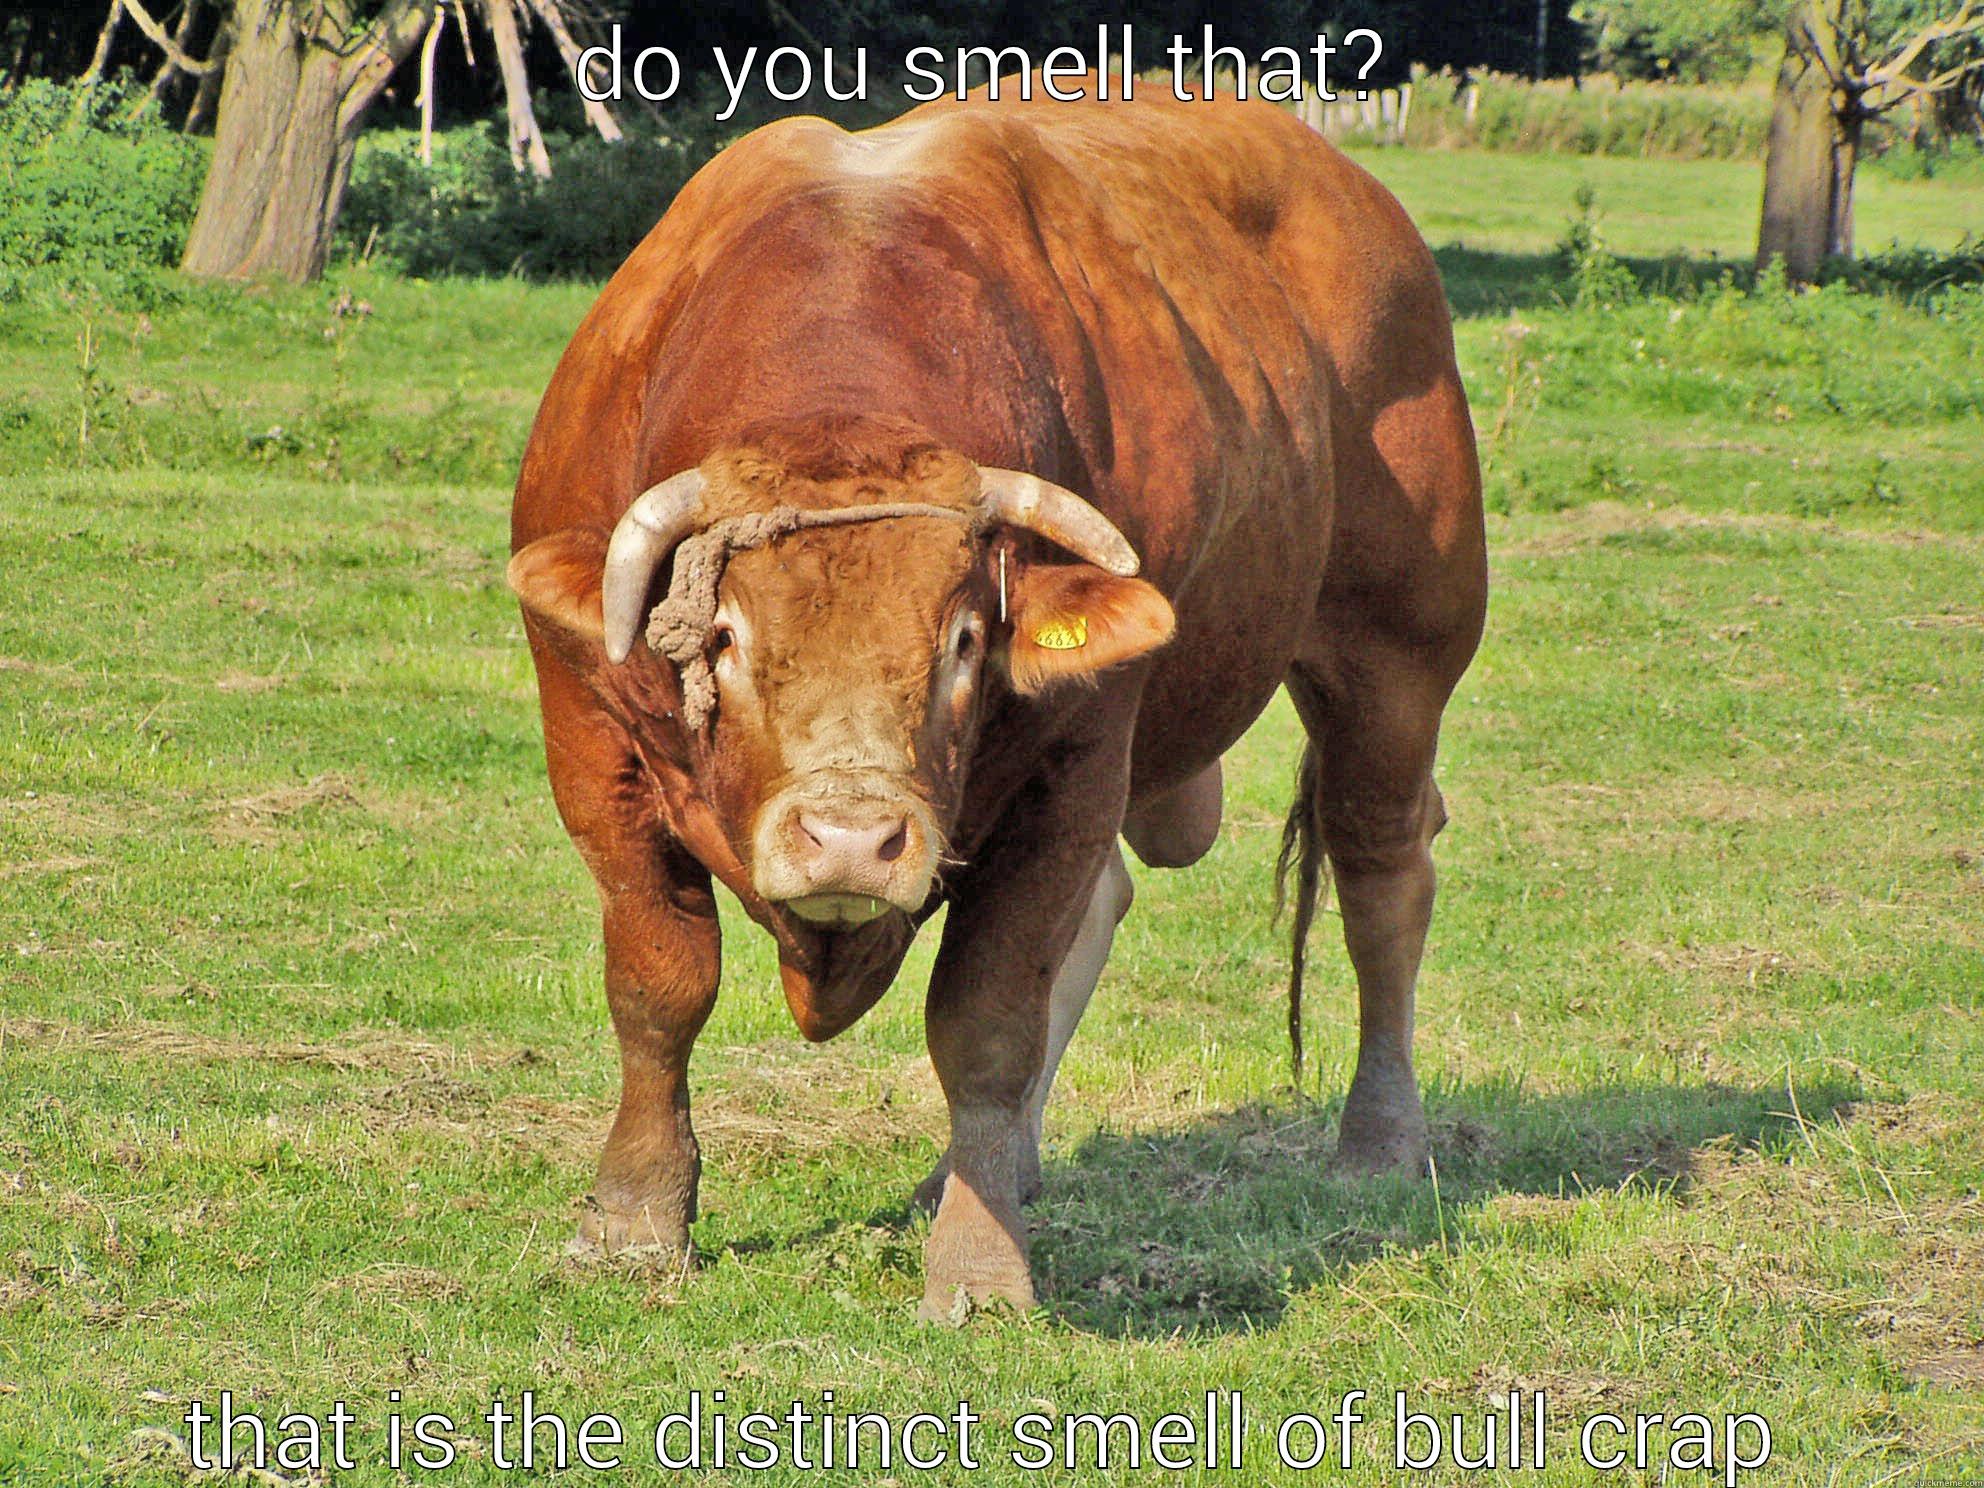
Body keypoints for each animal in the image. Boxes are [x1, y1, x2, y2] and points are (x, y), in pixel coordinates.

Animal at [506, 83, 1487, 1320]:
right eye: (723, 637)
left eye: (966, 641)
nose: (850, 838)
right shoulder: (588, 741)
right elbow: (659, 983)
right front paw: (633, 1221)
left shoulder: (1075, 766)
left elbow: (984, 1018)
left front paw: (979, 1273)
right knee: (1122, 901)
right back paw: (994, 1165)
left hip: (1398, 651)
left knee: (1381, 878)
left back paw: (1381, 1138)